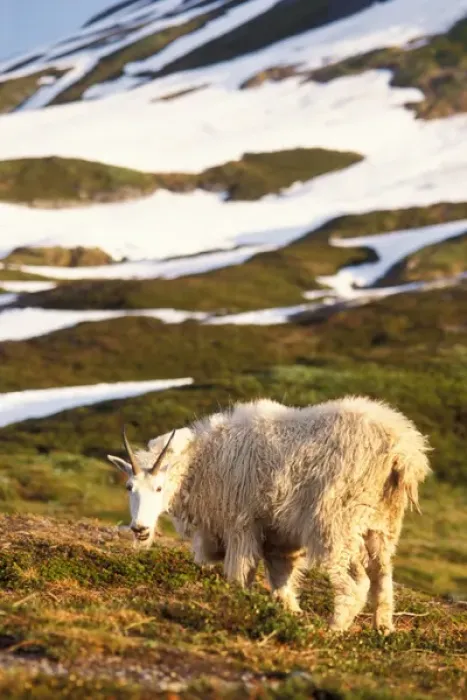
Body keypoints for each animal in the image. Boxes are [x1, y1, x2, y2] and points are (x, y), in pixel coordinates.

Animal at [107, 396, 430, 632]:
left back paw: (333, 629)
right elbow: (281, 581)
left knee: (355, 582)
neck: (202, 461)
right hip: (381, 526)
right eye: (129, 487)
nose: (140, 529)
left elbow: (239, 576)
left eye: (159, 487)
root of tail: (402, 453)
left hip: (336, 524)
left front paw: (236, 608)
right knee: (382, 578)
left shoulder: (241, 525)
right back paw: (383, 630)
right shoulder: (278, 537)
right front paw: (289, 613)